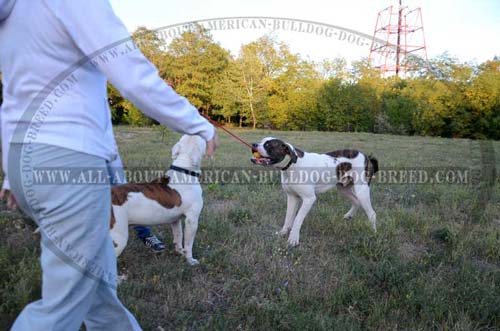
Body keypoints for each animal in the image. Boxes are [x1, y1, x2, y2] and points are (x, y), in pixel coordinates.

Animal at [110, 134, 206, 266]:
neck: (184, 172)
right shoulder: (192, 220)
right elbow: (188, 244)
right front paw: (190, 260)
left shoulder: (175, 220)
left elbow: (178, 236)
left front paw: (179, 252)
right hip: (119, 237)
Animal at [250, 136, 378, 248]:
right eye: (261, 141)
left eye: (268, 145)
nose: (254, 144)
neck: (292, 164)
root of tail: (366, 156)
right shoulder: (292, 197)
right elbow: (288, 217)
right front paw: (283, 232)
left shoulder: (309, 199)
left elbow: (297, 219)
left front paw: (293, 239)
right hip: (343, 189)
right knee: (356, 201)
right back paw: (349, 215)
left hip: (361, 191)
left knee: (372, 213)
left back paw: (373, 233)